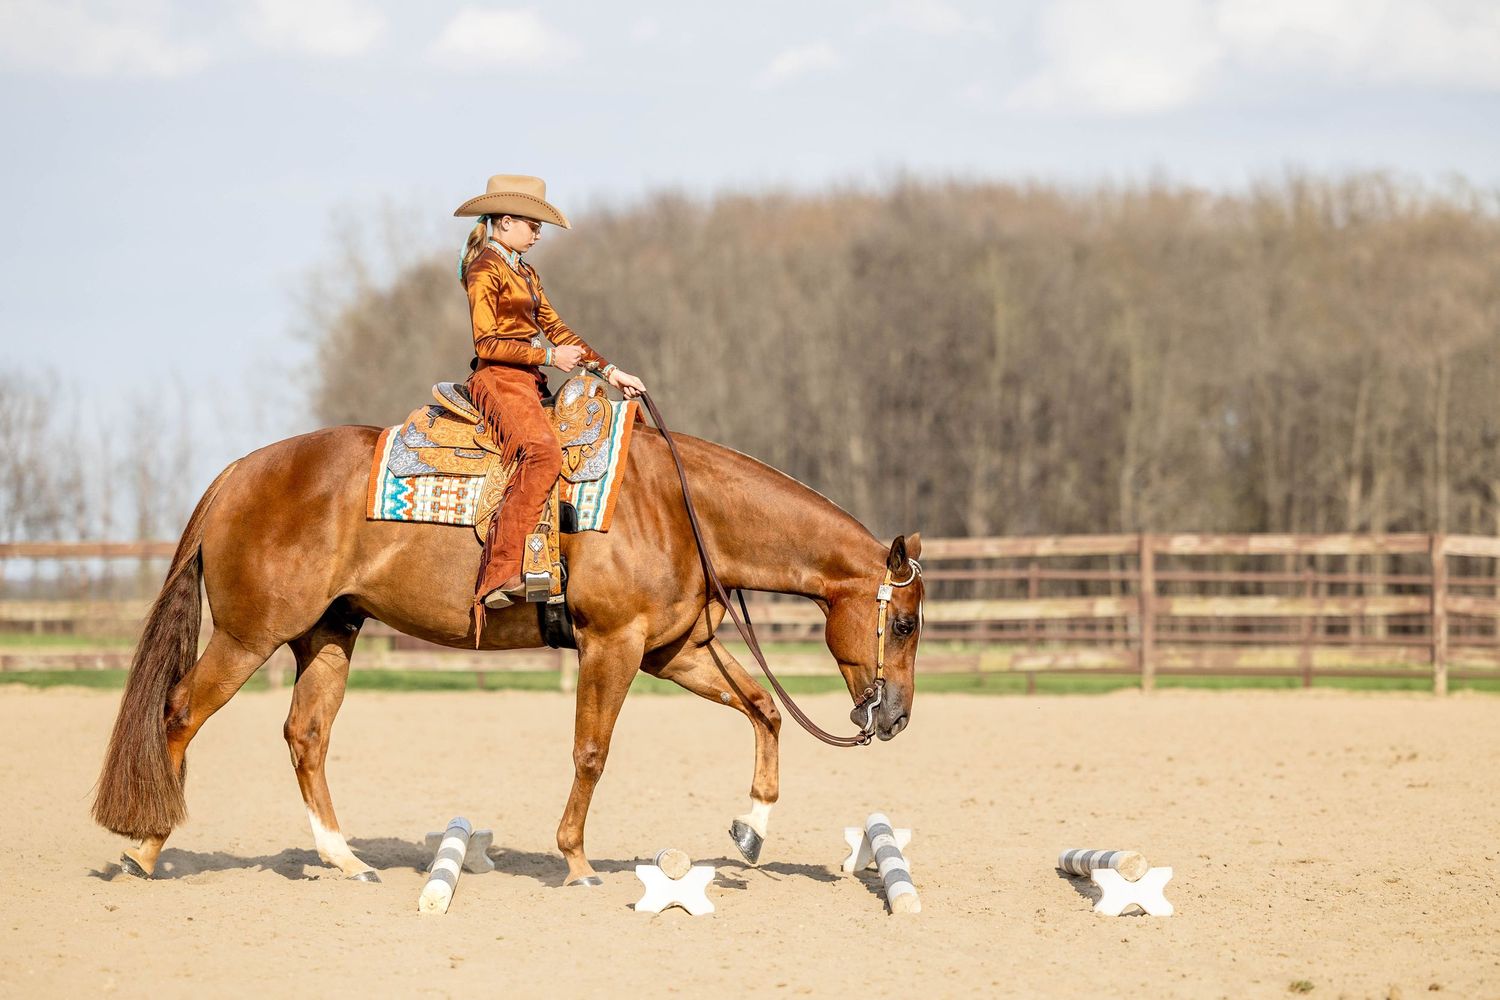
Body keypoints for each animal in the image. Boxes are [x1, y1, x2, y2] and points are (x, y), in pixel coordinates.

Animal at [91, 414, 925, 885]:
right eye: (907, 623)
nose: (894, 718)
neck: (677, 507)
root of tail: (238, 472)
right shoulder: (613, 644)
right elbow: (592, 750)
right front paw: (578, 861)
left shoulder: (675, 650)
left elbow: (763, 710)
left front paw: (751, 831)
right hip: (247, 637)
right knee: (178, 713)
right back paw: (146, 848)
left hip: (326, 635)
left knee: (306, 736)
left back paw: (345, 860)